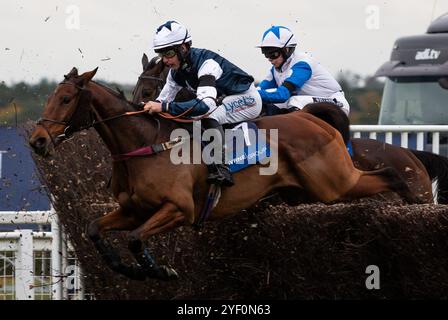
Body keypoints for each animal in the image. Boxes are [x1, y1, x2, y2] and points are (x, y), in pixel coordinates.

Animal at [29, 67, 426, 280]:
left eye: (66, 99)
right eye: (48, 97)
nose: (37, 140)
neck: (146, 146)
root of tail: (311, 117)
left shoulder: (179, 210)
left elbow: (137, 239)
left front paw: (158, 270)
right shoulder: (133, 210)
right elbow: (94, 229)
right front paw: (127, 269)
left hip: (335, 184)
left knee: (390, 174)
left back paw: (413, 204)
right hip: (309, 193)